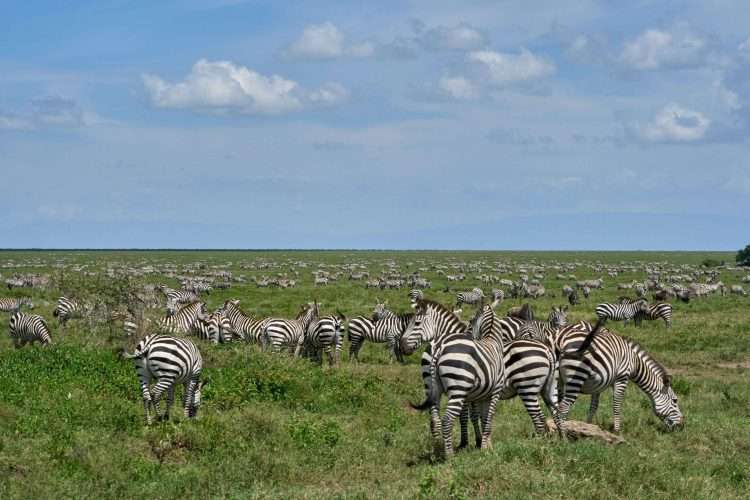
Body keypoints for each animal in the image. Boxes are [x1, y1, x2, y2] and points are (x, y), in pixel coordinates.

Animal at [554, 320, 683, 433]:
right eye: (675, 400)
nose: (681, 425)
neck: (635, 363)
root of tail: (561, 339)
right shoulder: (622, 377)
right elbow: (617, 404)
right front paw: (617, 430)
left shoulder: (600, 381)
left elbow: (594, 406)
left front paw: (588, 426)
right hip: (576, 376)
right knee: (563, 407)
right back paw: (563, 436)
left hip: (558, 380)